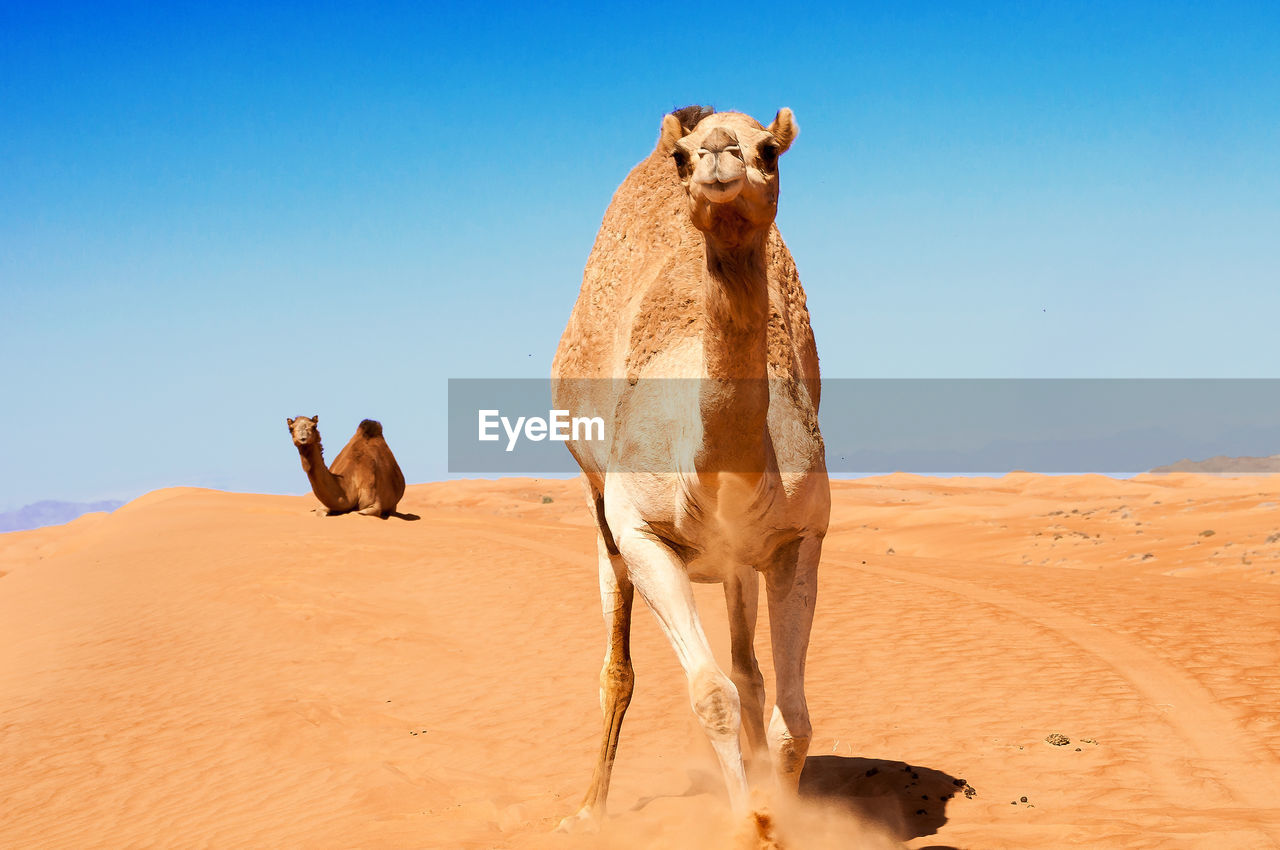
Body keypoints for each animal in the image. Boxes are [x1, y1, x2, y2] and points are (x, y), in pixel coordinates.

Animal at [550, 104, 829, 824]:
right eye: (682, 158)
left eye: (769, 150)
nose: (718, 154)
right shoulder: (643, 531)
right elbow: (710, 696)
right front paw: (746, 825)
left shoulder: (800, 536)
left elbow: (792, 717)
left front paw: (779, 819)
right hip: (601, 510)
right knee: (618, 666)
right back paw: (590, 808)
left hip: (738, 563)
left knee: (748, 667)